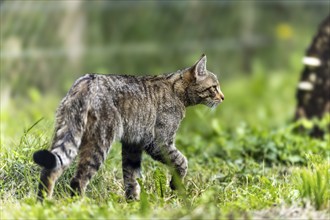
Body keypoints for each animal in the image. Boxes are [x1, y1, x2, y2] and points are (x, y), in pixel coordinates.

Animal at [33, 54, 224, 201]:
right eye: (214, 87)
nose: (222, 97)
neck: (176, 91)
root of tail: (87, 81)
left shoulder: (133, 144)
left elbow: (132, 179)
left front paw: (133, 204)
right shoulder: (159, 142)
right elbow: (182, 161)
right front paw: (175, 184)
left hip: (66, 131)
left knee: (50, 170)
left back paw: (44, 202)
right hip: (100, 142)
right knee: (77, 179)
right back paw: (78, 205)